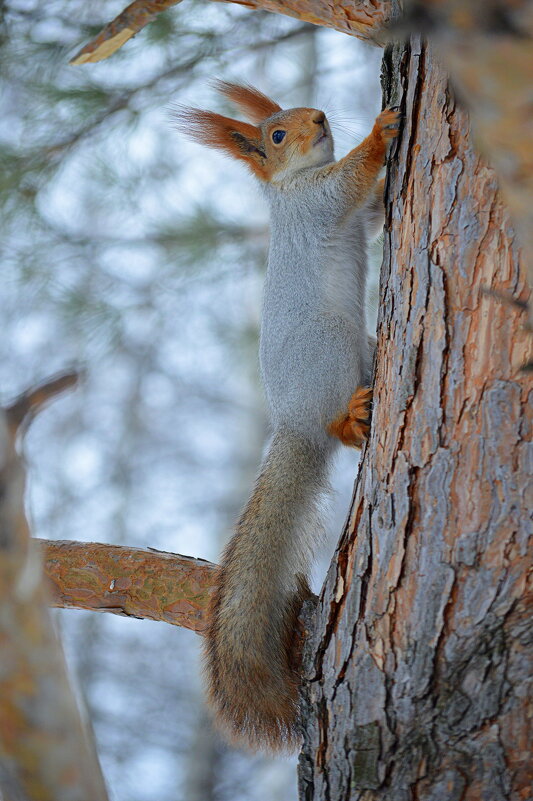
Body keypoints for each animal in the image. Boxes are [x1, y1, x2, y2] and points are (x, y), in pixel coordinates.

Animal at [175, 84, 400, 752]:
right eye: (275, 135)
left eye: (303, 107)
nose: (321, 118)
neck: (291, 182)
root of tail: (294, 423)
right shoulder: (317, 202)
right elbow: (349, 180)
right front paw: (380, 133)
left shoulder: (346, 211)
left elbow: (370, 210)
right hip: (329, 344)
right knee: (333, 426)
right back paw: (348, 420)